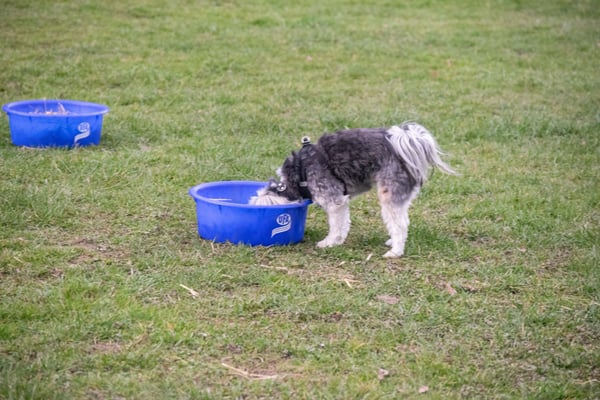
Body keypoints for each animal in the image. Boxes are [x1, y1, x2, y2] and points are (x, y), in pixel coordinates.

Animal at [249, 122, 456, 258]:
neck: (300, 173)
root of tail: (405, 142)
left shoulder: (333, 200)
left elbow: (334, 225)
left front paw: (327, 242)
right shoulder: (341, 201)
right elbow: (343, 223)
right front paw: (338, 241)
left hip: (388, 194)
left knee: (399, 225)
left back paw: (395, 251)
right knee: (403, 221)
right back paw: (393, 242)